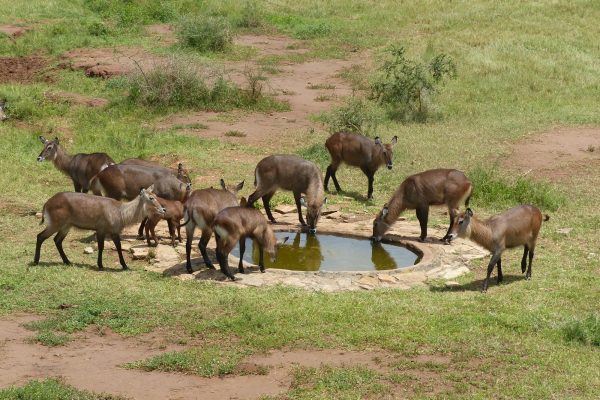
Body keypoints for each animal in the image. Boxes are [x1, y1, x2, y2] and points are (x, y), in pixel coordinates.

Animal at [35, 186, 166, 270]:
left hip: (66, 226)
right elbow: (105, 247)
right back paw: (36, 261)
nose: (163, 209)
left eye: (156, 195)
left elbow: (113, 247)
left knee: (57, 240)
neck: (121, 213)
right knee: (40, 236)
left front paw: (119, 265)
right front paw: (105, 265)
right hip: (56, 224)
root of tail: (47, 203)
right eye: (151, 198)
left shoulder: (111, 231)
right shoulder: (103, 230)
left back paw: (67, 261)